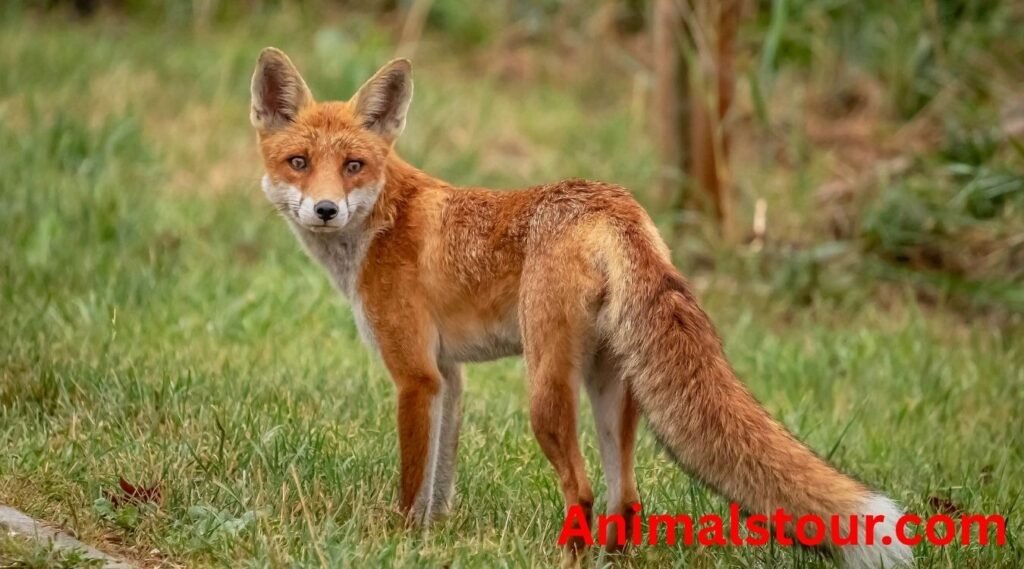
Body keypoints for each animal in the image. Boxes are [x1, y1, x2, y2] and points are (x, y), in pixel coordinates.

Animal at [249, 48, 914, 568]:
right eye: (299, 164)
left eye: (353, 166)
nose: (326, 210)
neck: (380, 224)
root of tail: (613, 203)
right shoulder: (449, 376)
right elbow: (441, 479)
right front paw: (433, 540)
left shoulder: (415, 375)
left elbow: (414, 482)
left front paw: (402, 541)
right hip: (611, 387)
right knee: (627, 499)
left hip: (545, 392)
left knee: (585, 493)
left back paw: (568, 554)